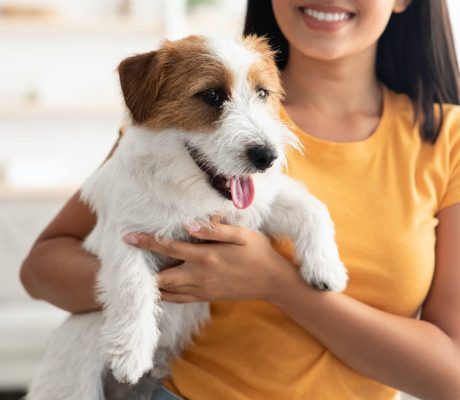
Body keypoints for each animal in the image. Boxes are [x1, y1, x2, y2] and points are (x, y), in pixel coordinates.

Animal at [27, 35, 346, 400]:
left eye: (262, 93)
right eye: (212, 95)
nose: (267, 156)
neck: (187, 190)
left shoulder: (256, 206)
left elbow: (312, 209)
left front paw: (326, 269)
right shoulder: (125, 234)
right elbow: (133, 283)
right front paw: (131, 353)